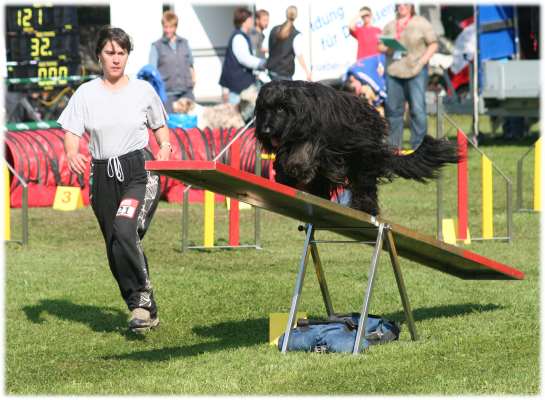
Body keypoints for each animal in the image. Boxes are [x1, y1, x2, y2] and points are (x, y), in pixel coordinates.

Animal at [255, 80, 460, 216]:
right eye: (264, 109)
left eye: (280, 109)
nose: (265, 130)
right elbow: (283, 157)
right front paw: (284, 177)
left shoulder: (317, 137)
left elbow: (304, 151)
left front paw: (297, 169)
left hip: (362, 158)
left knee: (365, 185)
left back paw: (365, 208)